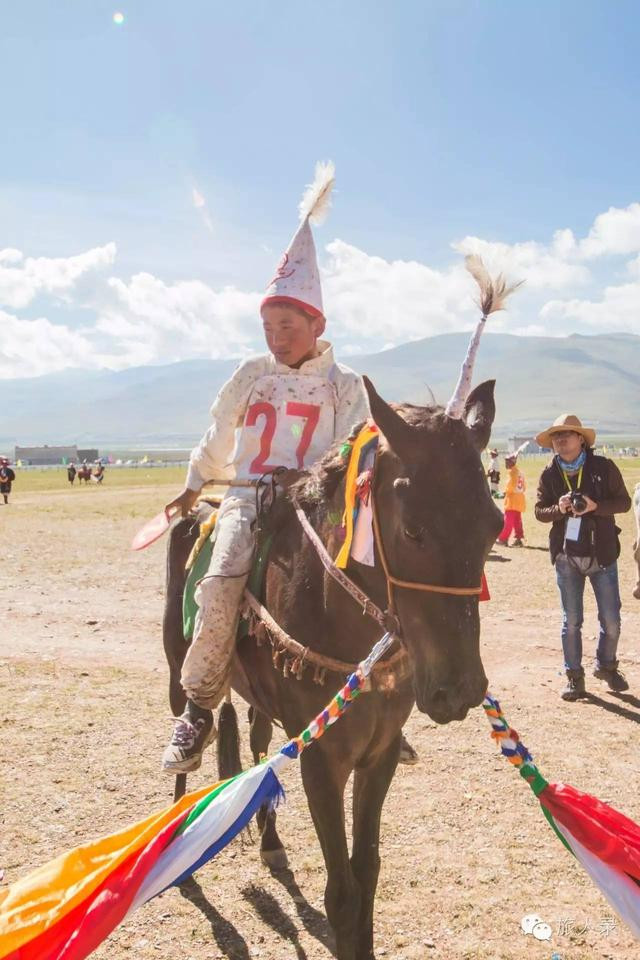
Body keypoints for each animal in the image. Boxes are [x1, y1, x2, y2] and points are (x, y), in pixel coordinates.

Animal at [162, 376, 502, 960]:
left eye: (495, 525)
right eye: (412, 530)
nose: (458, 690)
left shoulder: (378, 755)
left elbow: (366, 874)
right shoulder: (323, 760)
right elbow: (341, 891)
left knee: (257, 746)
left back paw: (271, 843)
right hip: (174, 669)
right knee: (189, 724)